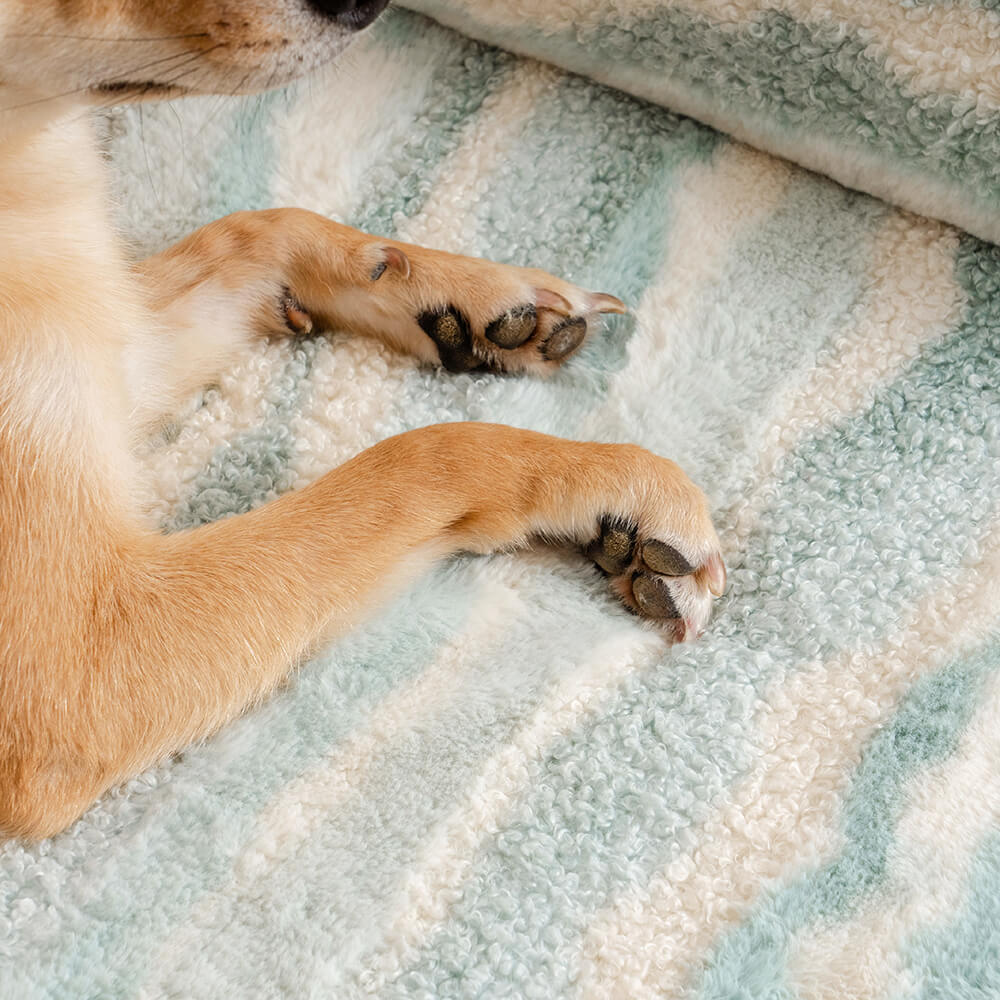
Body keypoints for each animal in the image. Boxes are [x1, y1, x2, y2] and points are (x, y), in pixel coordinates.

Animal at [0, 0, 724, 840]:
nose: (369, 6)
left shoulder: (101, 342)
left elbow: (263, 226)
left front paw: (474, 298)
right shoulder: (82, 656)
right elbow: (422, 454)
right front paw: (606, 478)